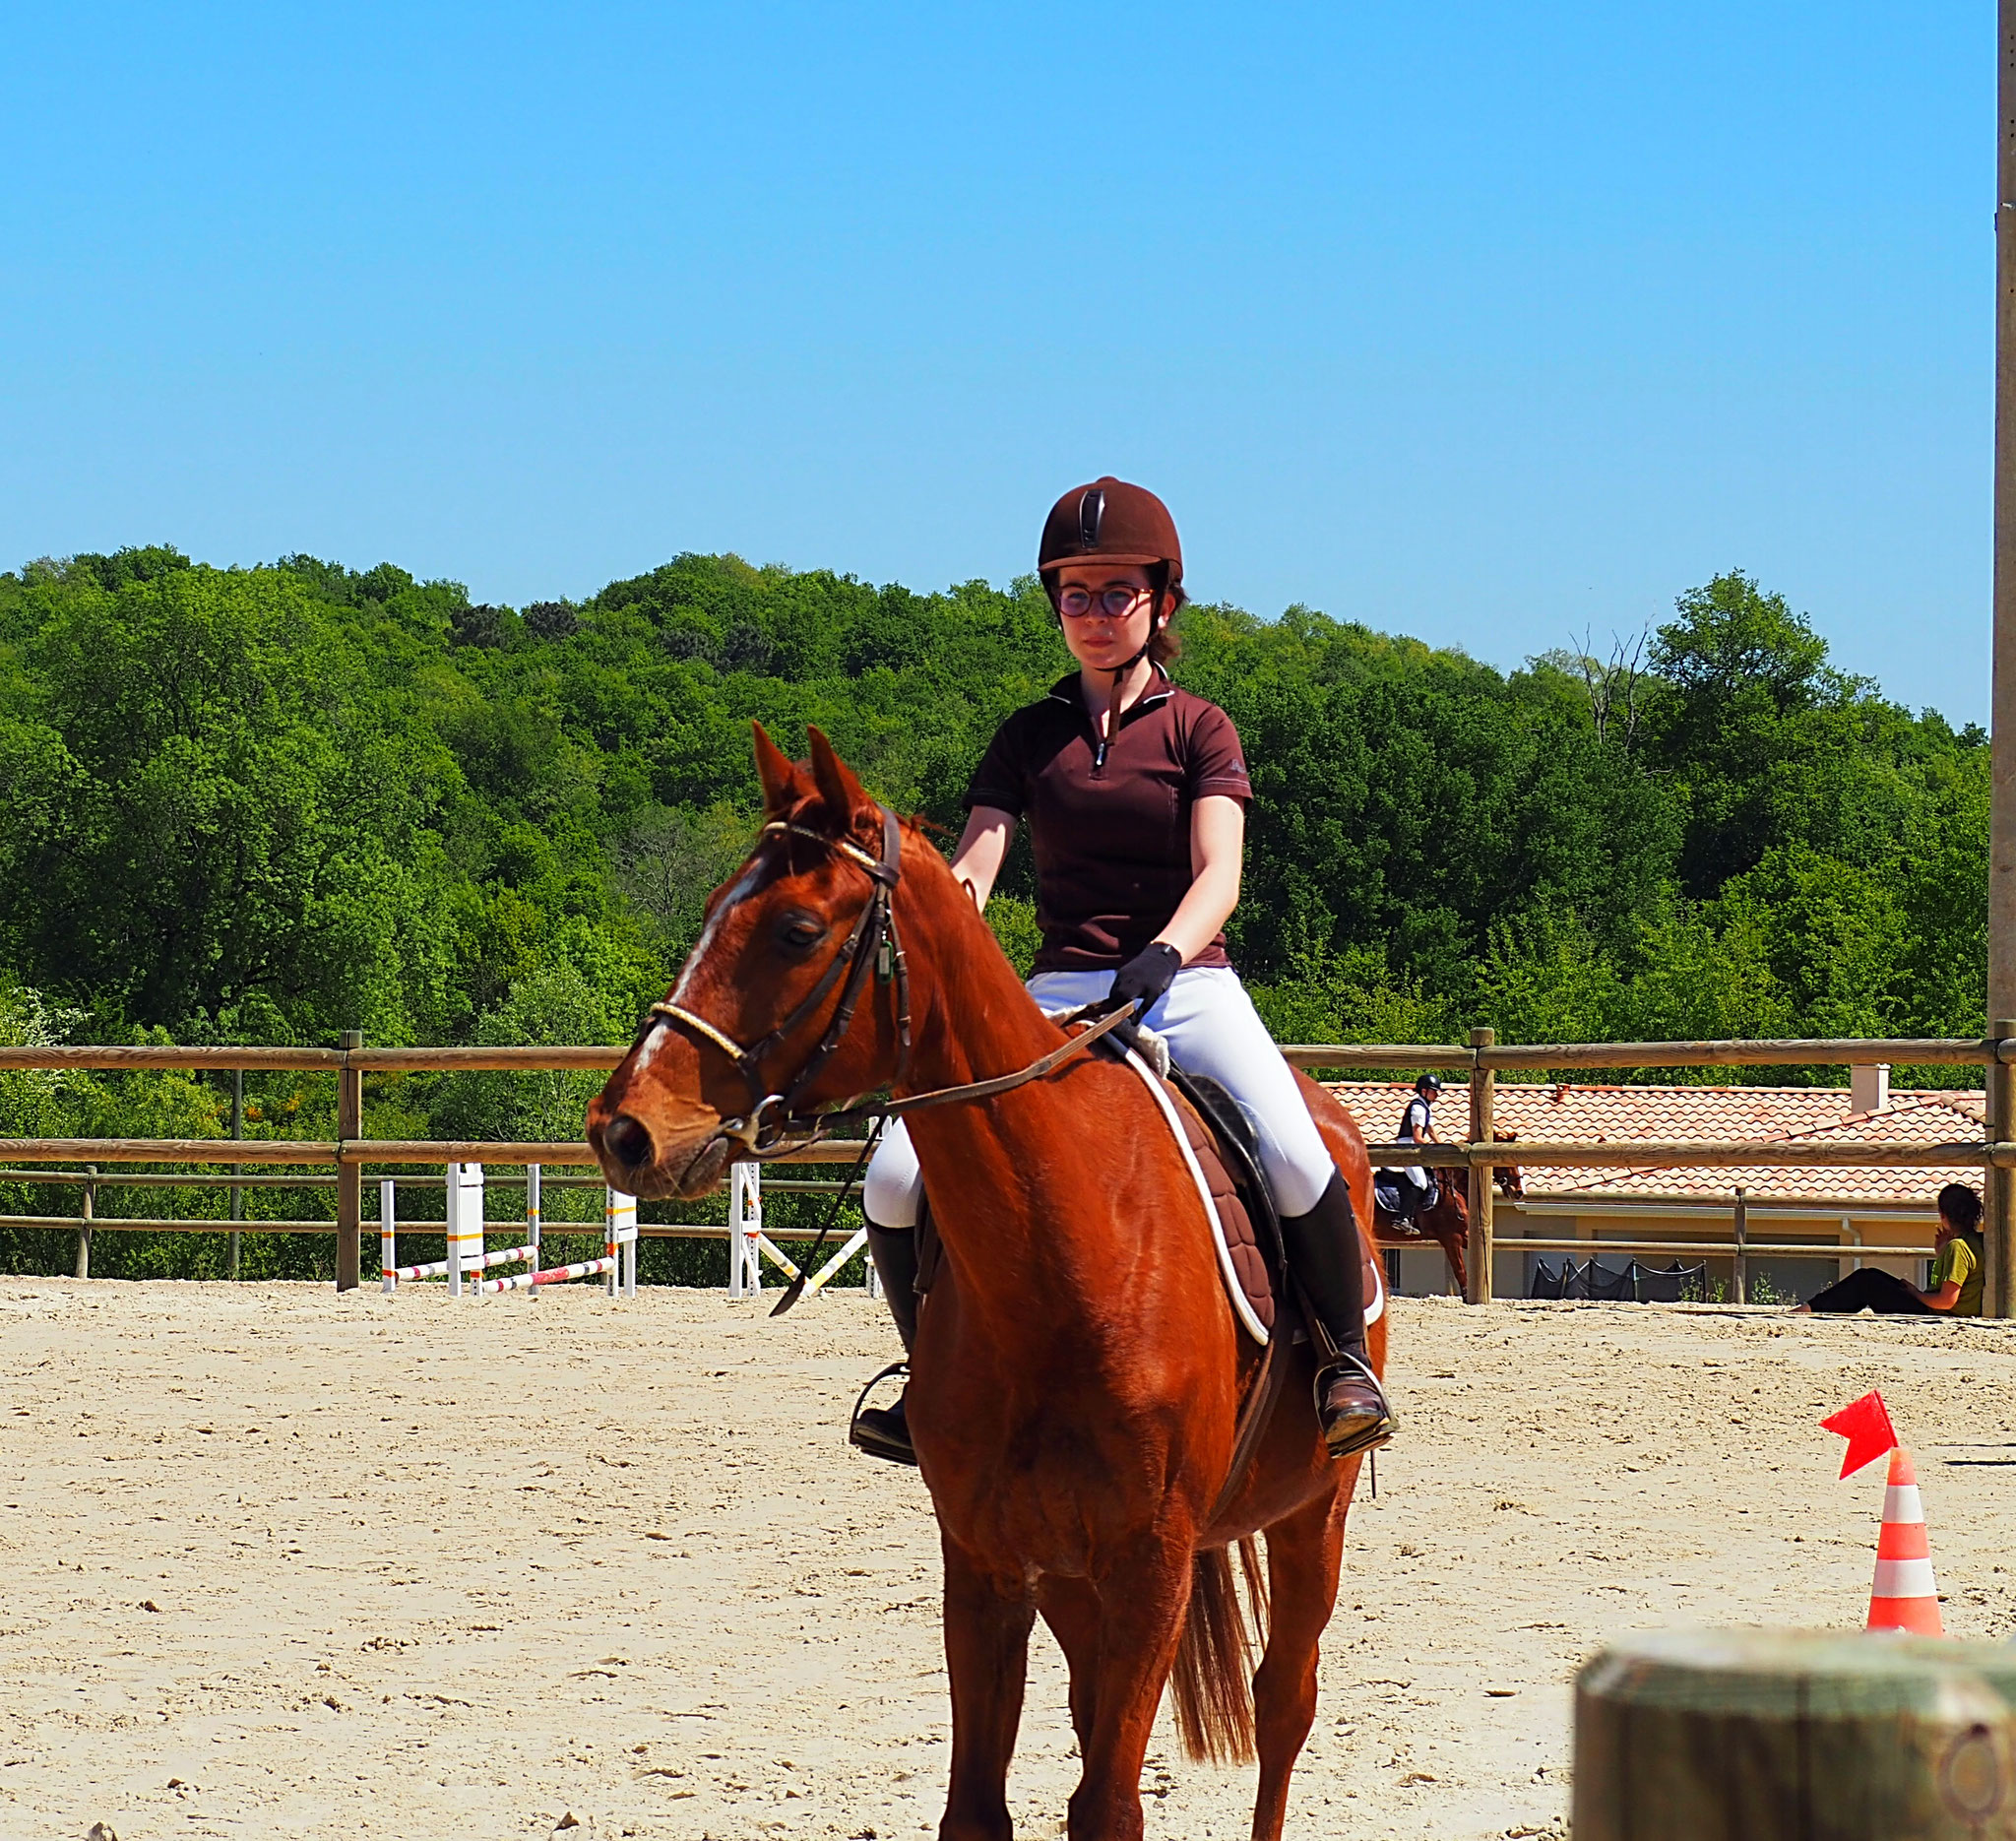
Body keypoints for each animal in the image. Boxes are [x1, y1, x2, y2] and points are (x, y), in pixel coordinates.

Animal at [589, 733, 1387, 1838]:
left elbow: (1108, 1805)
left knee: (1283, 1703)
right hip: (1072, 1578)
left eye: (796, 929)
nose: (624, 1130)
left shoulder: (1149, 1562)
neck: (1058, 1267)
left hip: (1312, 1511)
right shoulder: (984, 1560)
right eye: (712, 905)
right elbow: (979, 1803)